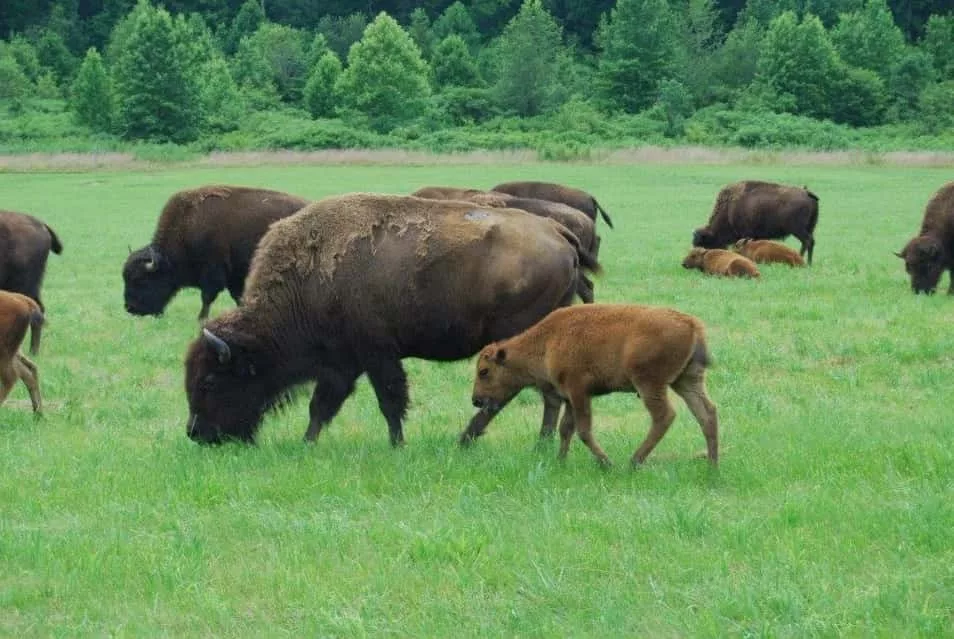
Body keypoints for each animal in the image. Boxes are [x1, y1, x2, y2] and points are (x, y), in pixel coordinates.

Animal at [123, 185, 309, 320]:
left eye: (140, 279)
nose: (130, 308)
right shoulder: (233, 276)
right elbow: (237, 296)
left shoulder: (213, 272)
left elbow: (207, 297)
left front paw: (201, 318)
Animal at [184, 193, 601, 446]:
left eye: (209, 381)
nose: (195, 433)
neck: (309, 279)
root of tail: (557, 231)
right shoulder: (342, 363)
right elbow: (322, 405)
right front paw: (307, 442)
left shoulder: (376, 355)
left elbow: (389, 399)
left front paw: (396, 444)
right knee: (545, 394)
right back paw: (534, 443)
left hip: (517, 337)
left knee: (515, 393)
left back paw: (472, 441)